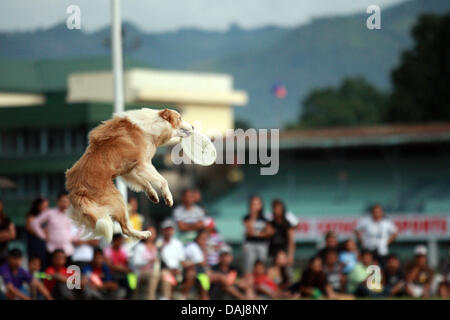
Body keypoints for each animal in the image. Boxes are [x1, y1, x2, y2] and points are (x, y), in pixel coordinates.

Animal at [66, 109, 192, 241]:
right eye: (179, 118)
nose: (193, 127)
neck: (154, 123)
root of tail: (76, 189)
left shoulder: (130, 170)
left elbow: (145, 183)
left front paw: (153, 195)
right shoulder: (143, 164)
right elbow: (163, 180)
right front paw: (168, 198)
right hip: (117, 199)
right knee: (124, 228)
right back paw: (143, 234)